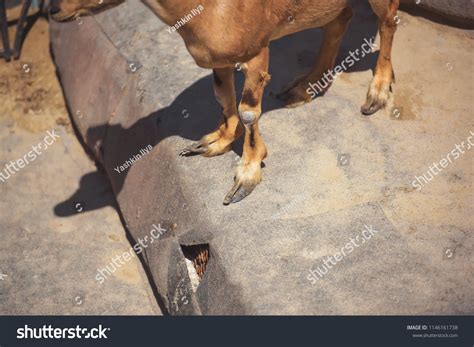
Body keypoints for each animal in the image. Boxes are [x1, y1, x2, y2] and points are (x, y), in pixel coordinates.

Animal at [51, 0, 400, 205]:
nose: (53, 9)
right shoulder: (219, 56)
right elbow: (222, 94)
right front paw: (213, 142)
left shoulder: (257, 51)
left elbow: (249, 112)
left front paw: (246, 175)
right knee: (341, 18)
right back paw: (305, 88)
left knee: (388, 20)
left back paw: (378, 91)